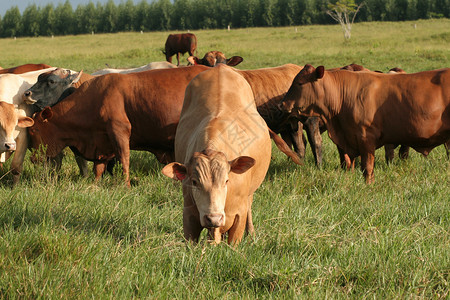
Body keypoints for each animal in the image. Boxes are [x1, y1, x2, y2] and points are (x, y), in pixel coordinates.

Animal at [162, 65, 270, 244]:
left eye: (226, 180)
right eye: (194, 182)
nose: (213, 218)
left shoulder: (239, 213)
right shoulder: (189, 213)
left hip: (249, 195)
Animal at [282, 64, 450, 183]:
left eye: (299, 83)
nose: (283, 103)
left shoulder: (365, 138)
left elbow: (367, 168)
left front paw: (369, 185)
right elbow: (350, 162)